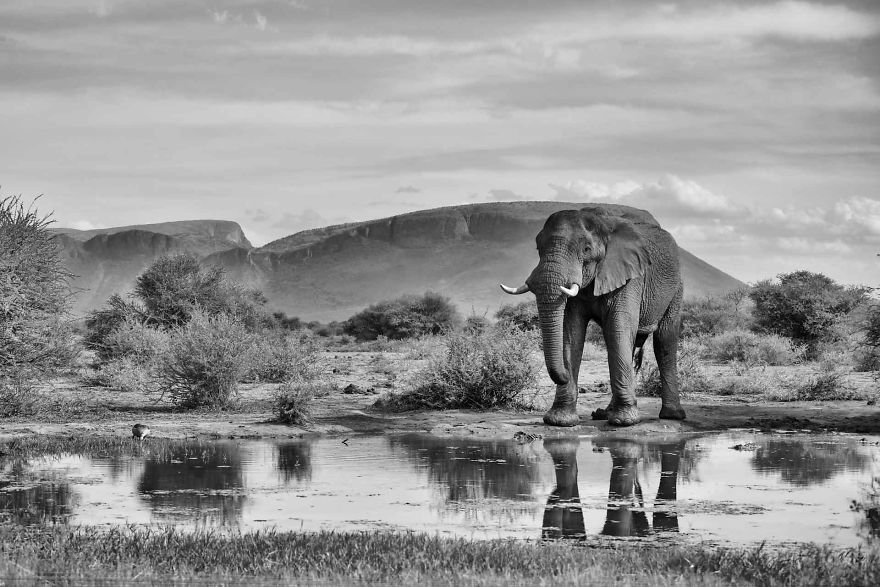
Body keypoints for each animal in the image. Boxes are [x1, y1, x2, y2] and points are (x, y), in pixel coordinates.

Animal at [501, 206, 686, 427]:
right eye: (538, 248)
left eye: (587, 249)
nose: (564, 375)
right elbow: (571, 331)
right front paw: (560, 420)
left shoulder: (631, 276)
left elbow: (617, 328)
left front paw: (624, 421)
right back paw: (603, 414)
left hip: (676, 290)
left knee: (664, 341)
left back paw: (672, 415)